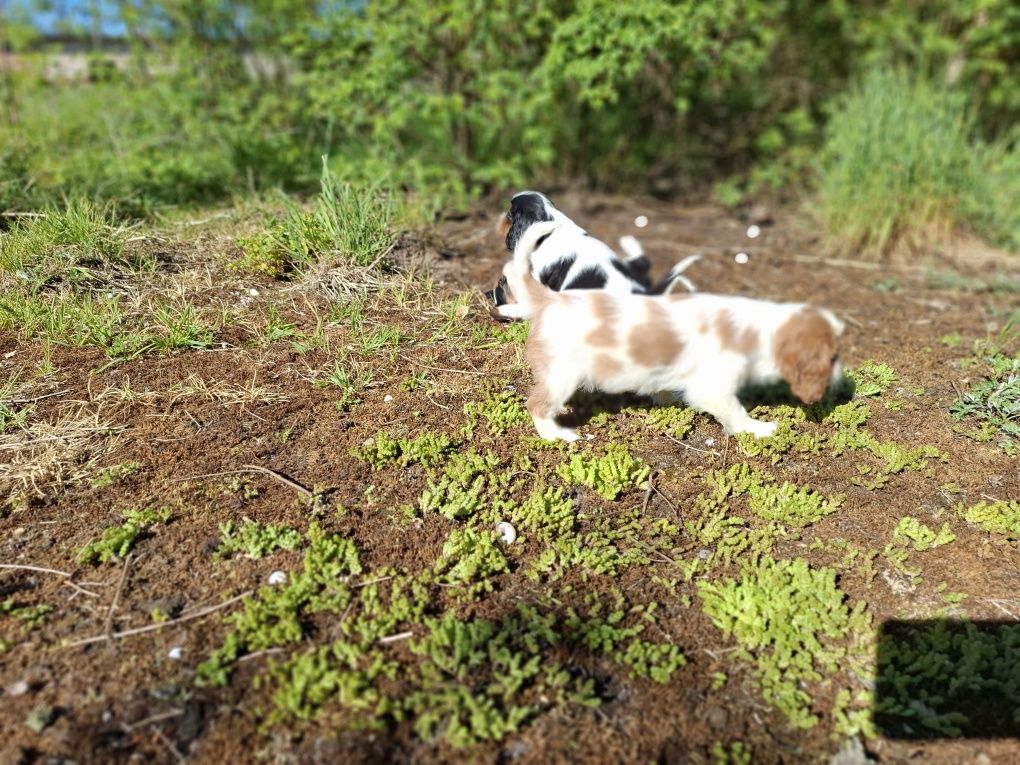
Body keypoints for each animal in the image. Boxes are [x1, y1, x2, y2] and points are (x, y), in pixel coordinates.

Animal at [501, 221, 844, 440]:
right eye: (832, 357)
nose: (841, 380)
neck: (758, 330)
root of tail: (550, 298)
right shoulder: (714, 389)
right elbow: (737, 412)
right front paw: (758, 429)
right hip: (563, 376)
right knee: (537, 405)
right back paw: (557, 434)